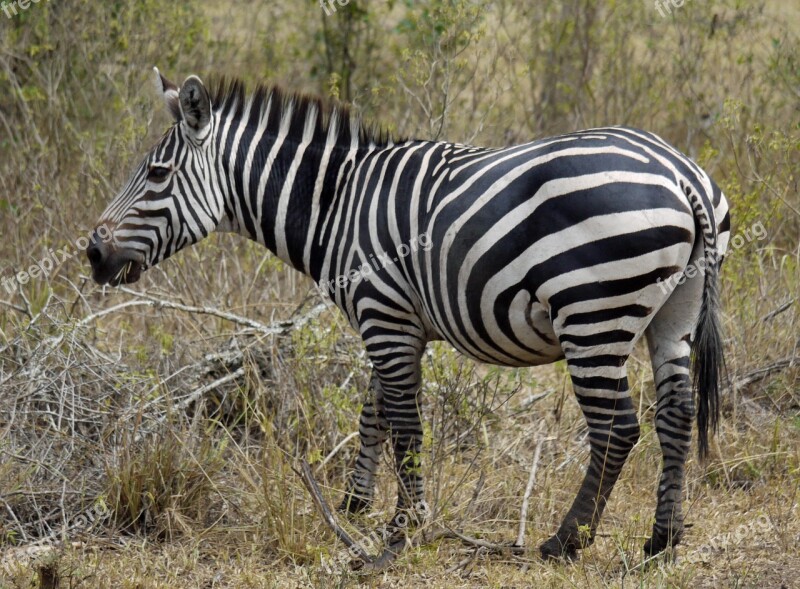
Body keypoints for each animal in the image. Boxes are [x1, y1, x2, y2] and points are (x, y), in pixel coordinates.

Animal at [87, 70, 732, 560]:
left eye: (157, 175)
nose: (92, 254)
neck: (337, 203)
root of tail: (682, 174)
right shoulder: (393, 322)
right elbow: (374, 411)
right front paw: (354, 504)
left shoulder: (385, 316)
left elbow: (403, 423)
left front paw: (406, 525)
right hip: (674, 311)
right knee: (675, 415)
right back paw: (663, 539)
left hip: (593, 311)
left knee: (617, 426)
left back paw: (567, 540)